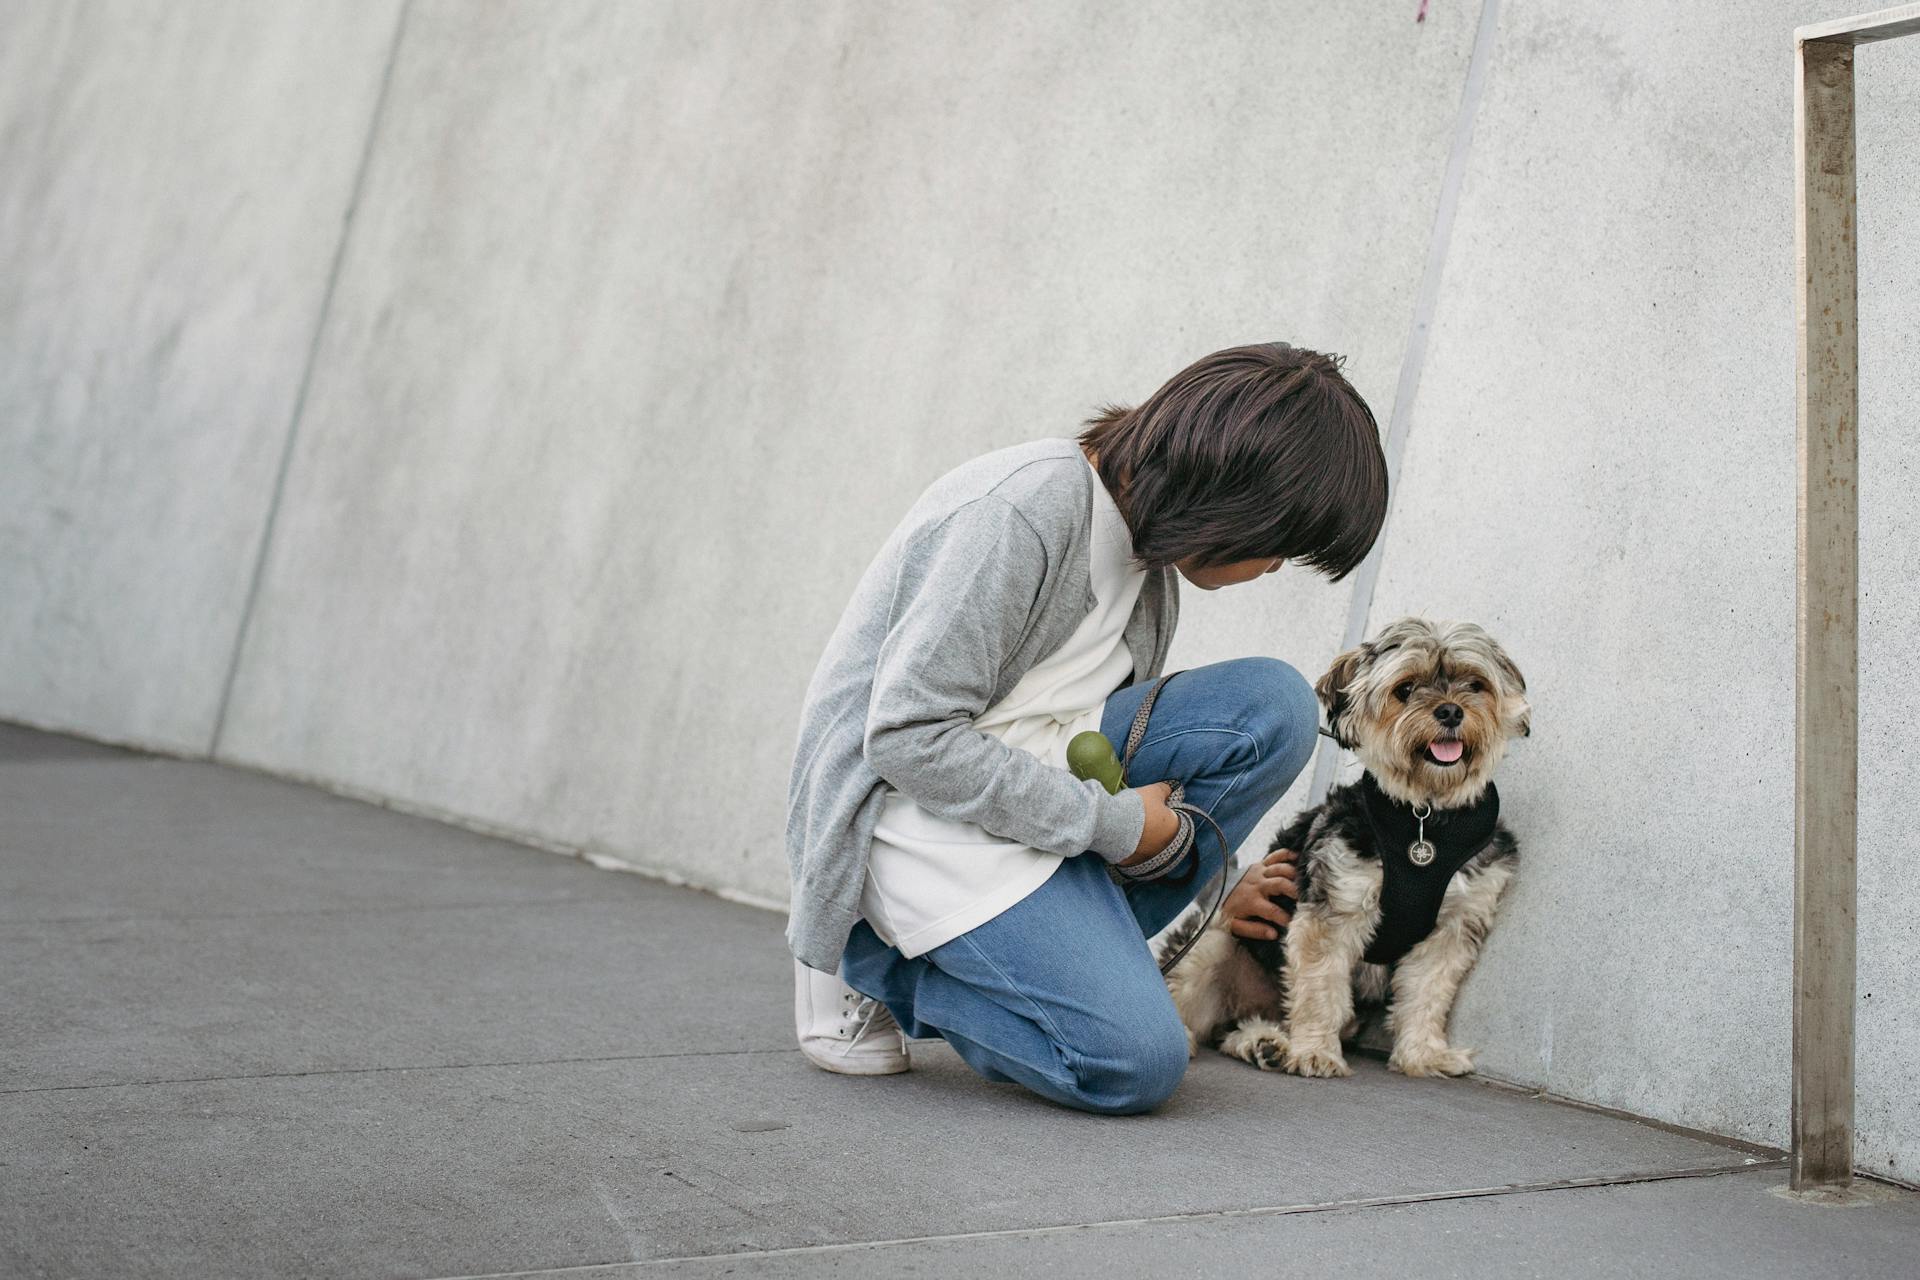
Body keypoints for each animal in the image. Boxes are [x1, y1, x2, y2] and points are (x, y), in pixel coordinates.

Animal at [1159, 614, 1520, 1074]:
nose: (1451, 711)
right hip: (1214, 938)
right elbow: (1320, 989)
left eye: (1475, 684)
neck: (1425, 819)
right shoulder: (1335, 908)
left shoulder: (1454, 927)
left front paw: (1424, 1054)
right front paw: (1315, 1051)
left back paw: (1264, 1043)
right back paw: (1201, 1038)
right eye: (1405, 689)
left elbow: (1428, 993)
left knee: (1241, 1028)